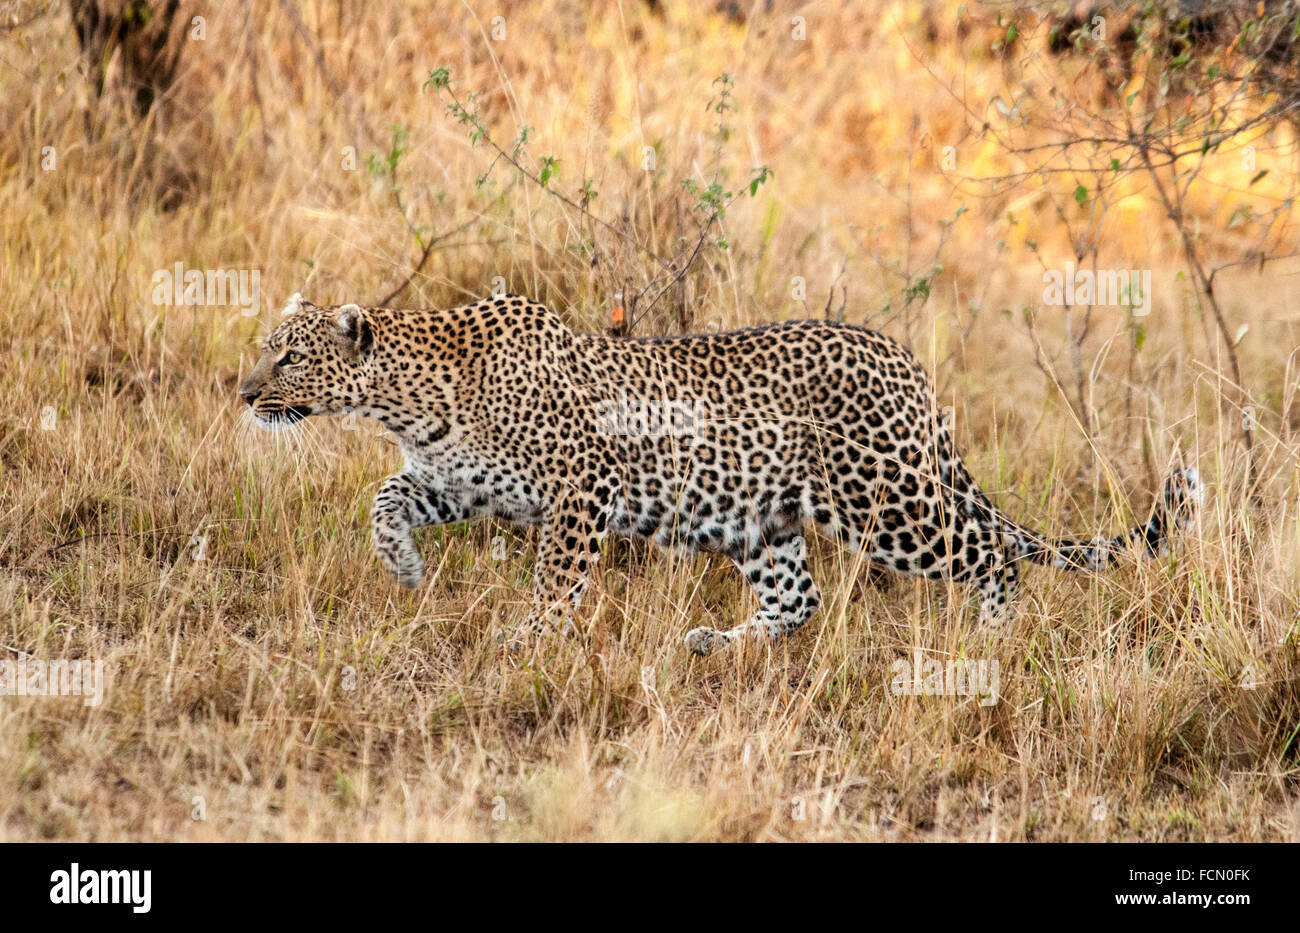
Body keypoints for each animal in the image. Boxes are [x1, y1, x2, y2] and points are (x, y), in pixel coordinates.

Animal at [239, 292, 1201, 657]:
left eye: (288, 357)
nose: (242, 391)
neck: (410, 397)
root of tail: (902, 357)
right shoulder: (458, 479)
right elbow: (386, 496)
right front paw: (402, 564)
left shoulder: (579, 488)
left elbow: (555, 578)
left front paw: (530, 640)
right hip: (759, 518)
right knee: (797, 600)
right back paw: (717, 643)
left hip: (885, 502)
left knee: (993, 553)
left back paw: (989, 640)